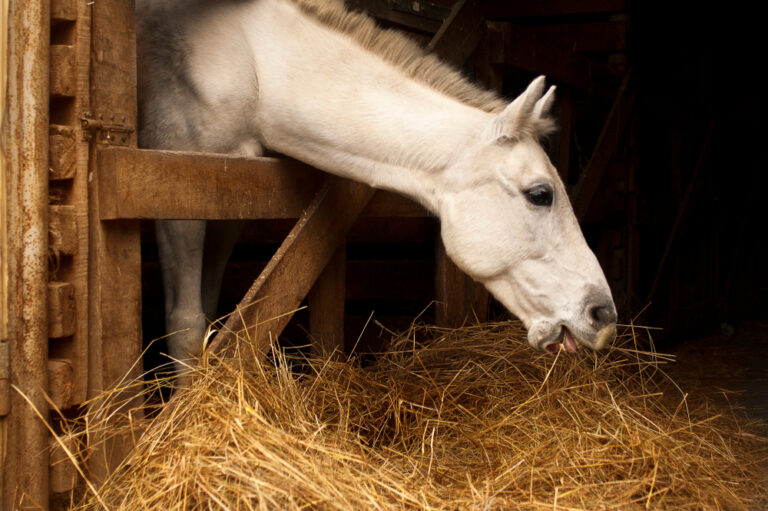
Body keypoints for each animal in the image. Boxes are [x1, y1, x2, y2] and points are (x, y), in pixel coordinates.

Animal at [135, 0, 617, 372]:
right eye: (541, 194)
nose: (604, 315)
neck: (250, 62)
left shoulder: (228, 206)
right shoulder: (180, 197)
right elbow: (186, 325)